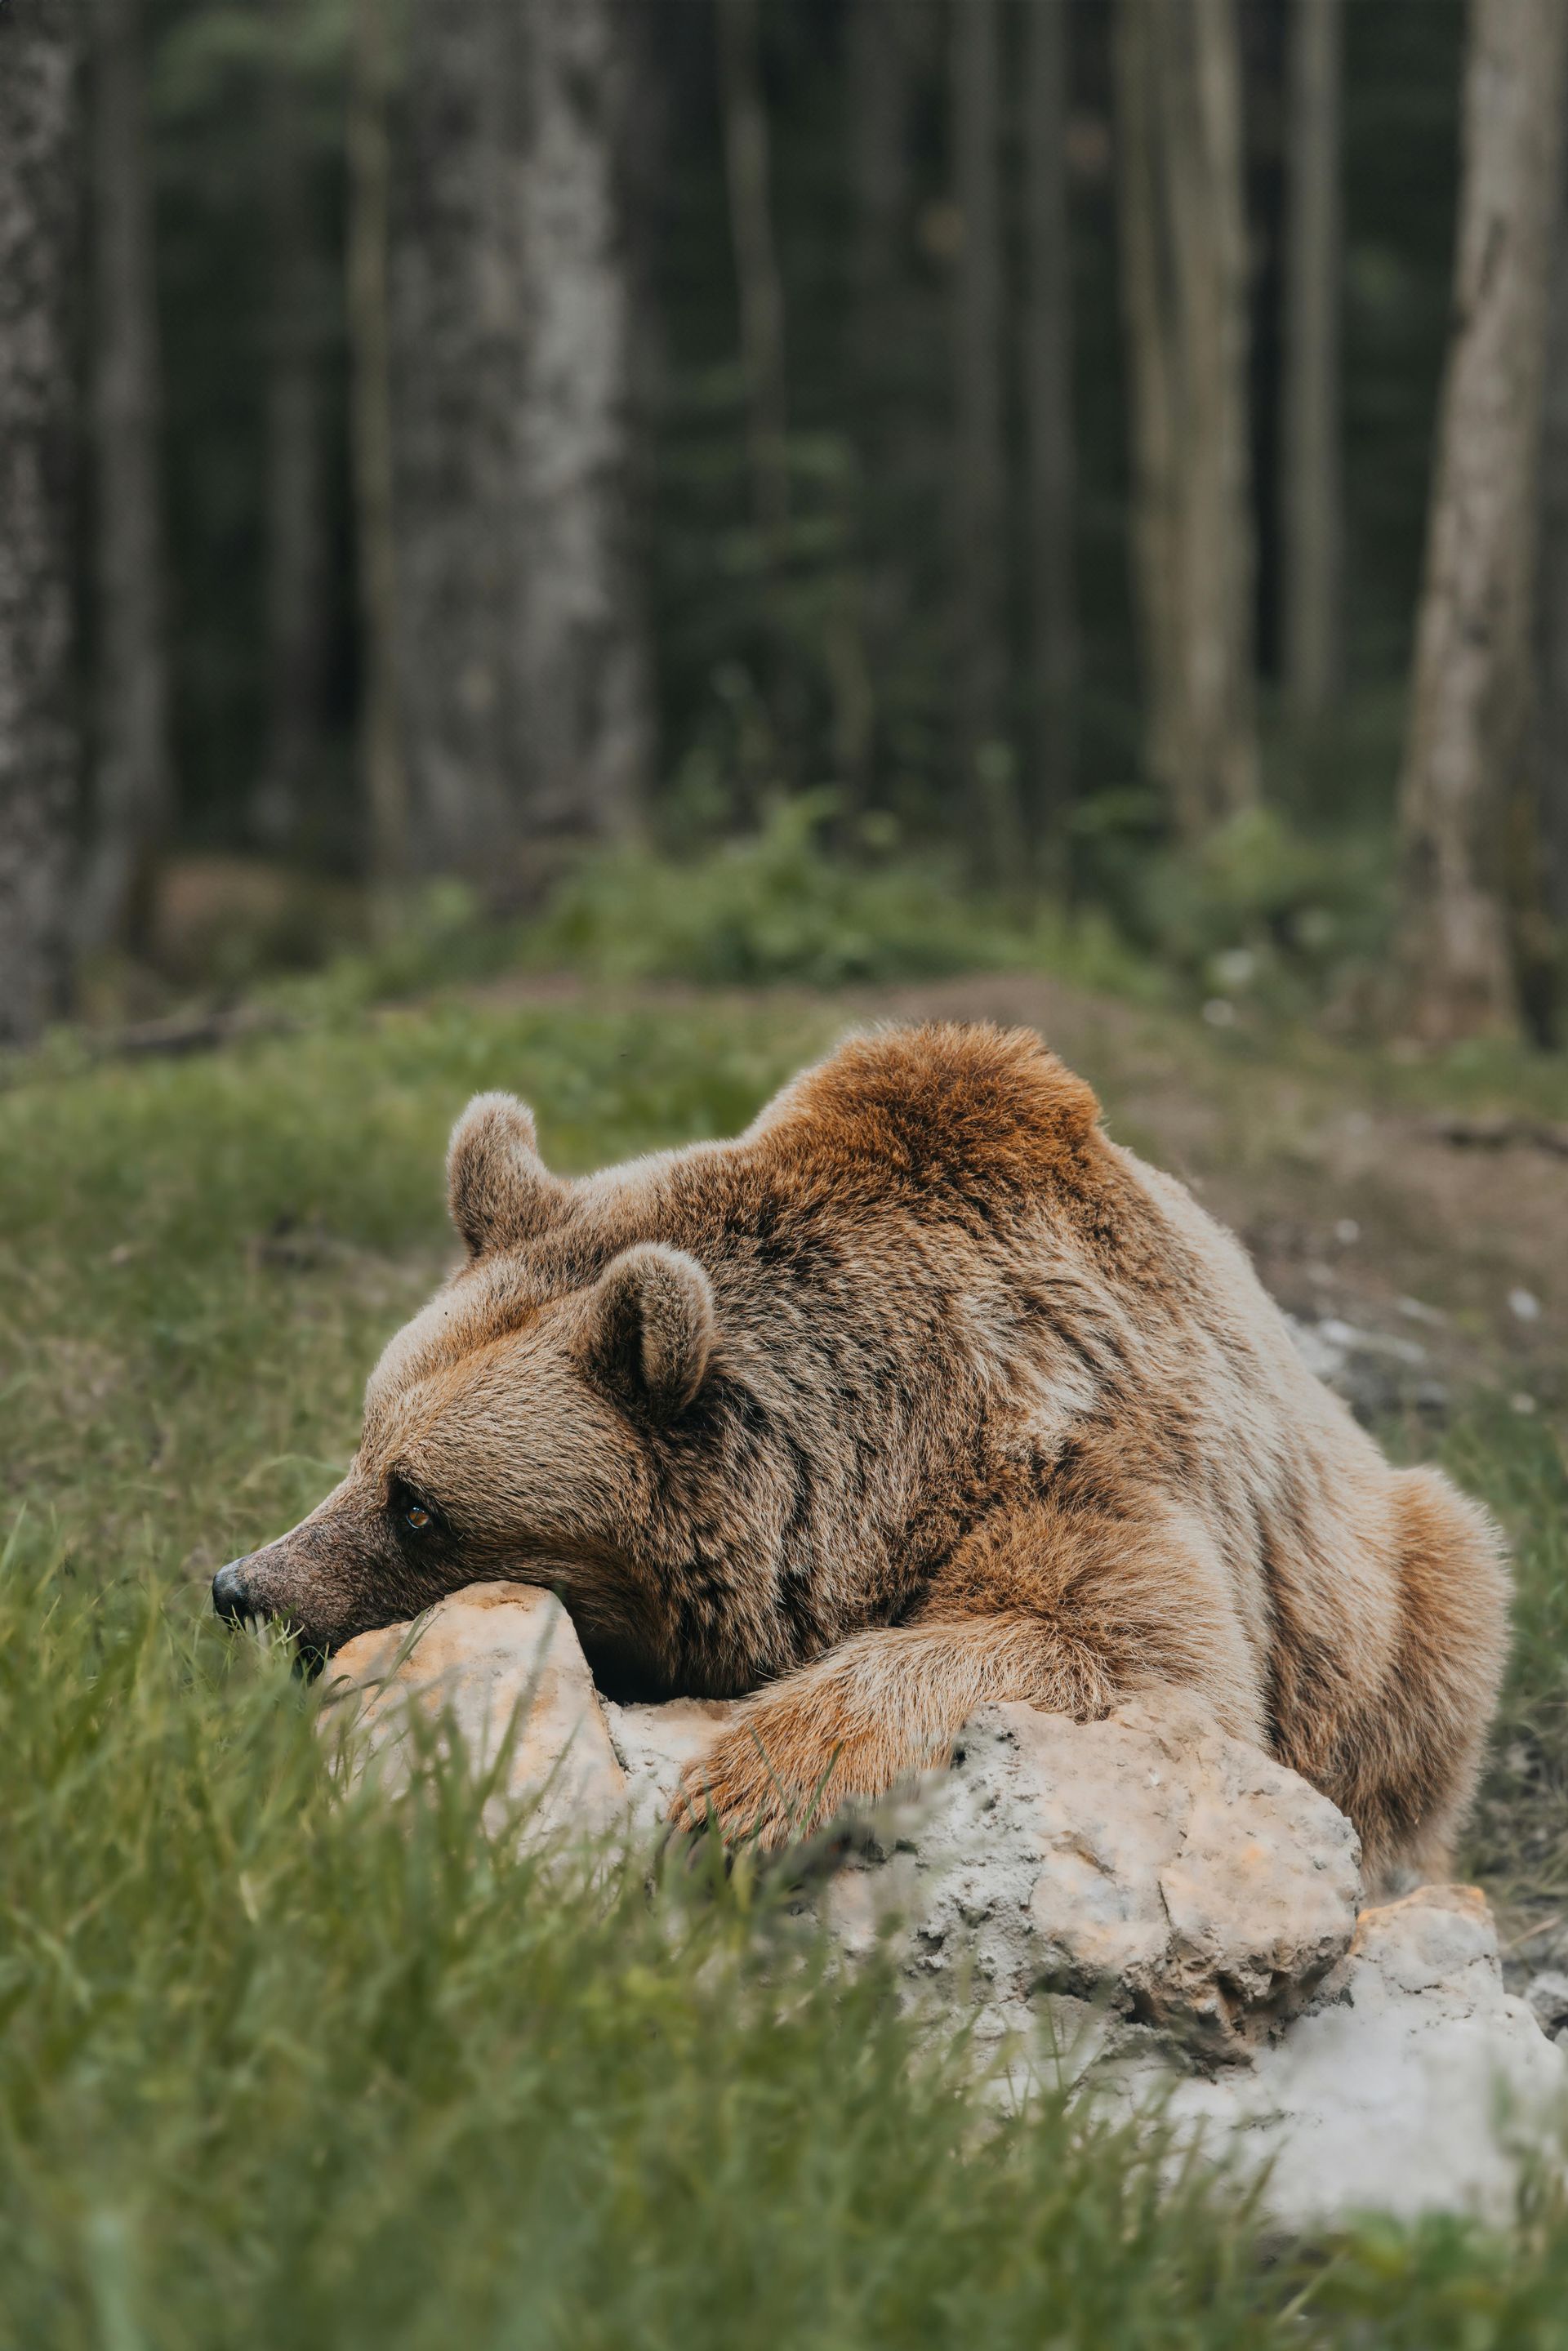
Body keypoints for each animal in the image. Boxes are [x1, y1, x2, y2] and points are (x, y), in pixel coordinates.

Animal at [213, 1022, 1509, 1882]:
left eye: (417, 1504)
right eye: (365, 1440)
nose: (243, 1587)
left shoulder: (1078, 1452)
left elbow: (1135, 1656)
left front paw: (746, 1786)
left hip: (1385, 1590)